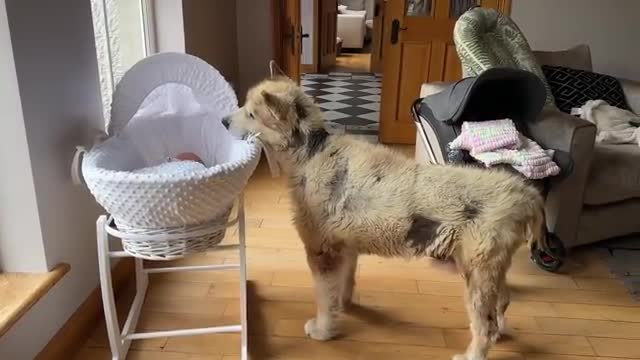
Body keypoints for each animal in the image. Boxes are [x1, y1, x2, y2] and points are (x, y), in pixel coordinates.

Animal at [226, 74, 552, 358]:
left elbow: (323, 296)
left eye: (252, 114)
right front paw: (343, 305)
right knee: (503, 302)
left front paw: (322, 329)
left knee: (485, 326)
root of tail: (524, 193)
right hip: (490, 269)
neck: (311, 151)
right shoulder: (345, 247)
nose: (224, 121)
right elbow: (342, 284)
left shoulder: (321, 251)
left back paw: (472, 355)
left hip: (478, 273)